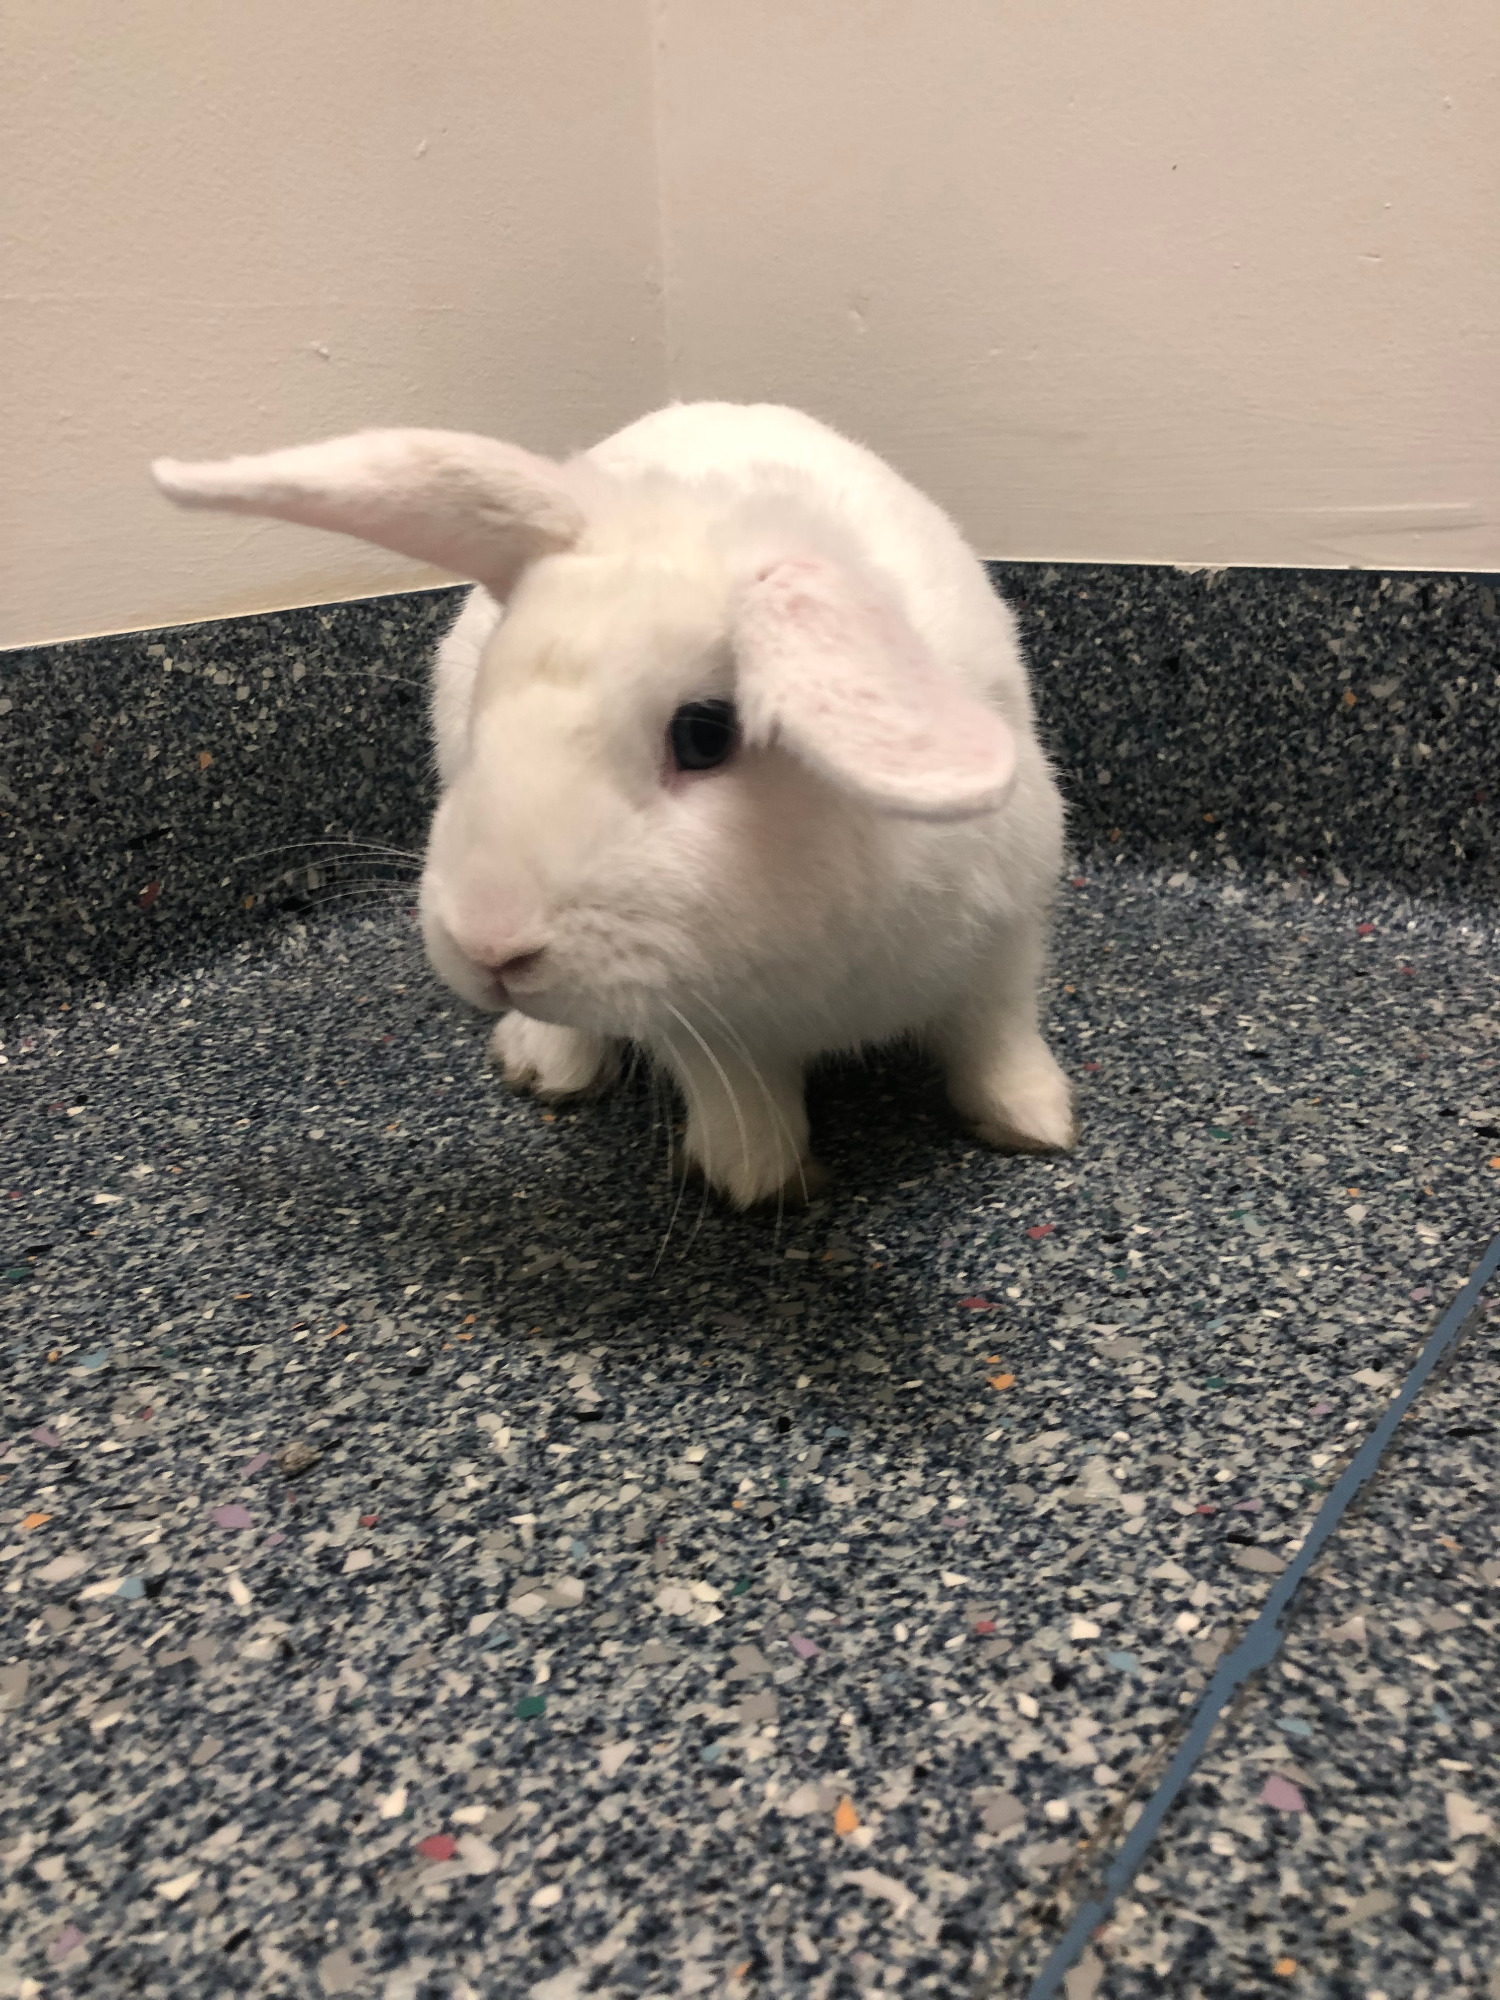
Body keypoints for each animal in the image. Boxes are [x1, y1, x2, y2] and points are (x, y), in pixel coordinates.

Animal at [153, 401, 1074, 1208]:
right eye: (489, 700)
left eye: (704, 735)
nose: (489, 946)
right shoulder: (693, 1014)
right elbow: (739, 1091)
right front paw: (758, 1180)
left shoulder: (1005, 937)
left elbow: (996, 1034)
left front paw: (1035, 1123)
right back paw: (543, 1065)